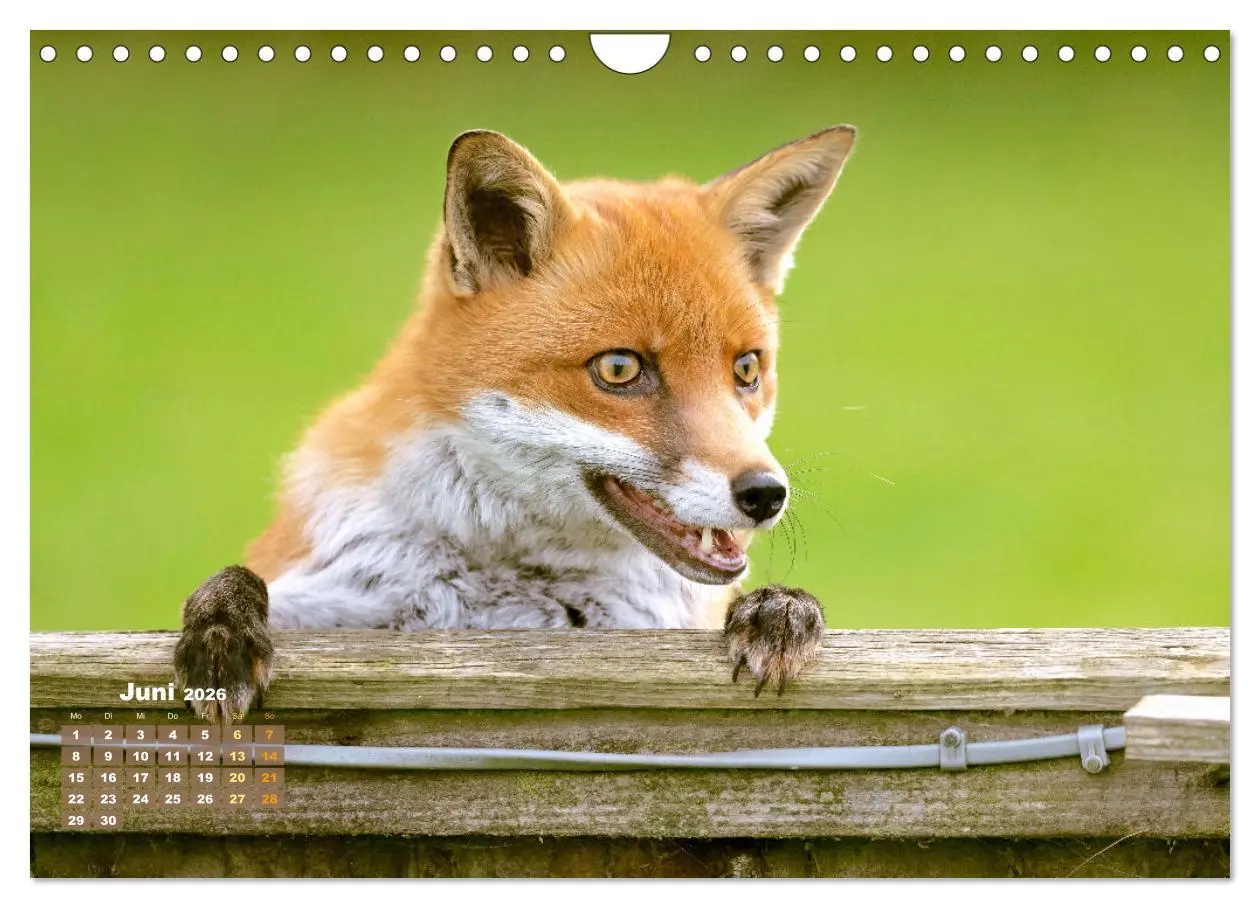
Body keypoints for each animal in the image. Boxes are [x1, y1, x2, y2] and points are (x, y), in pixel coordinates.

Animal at [174, 125, 858, 723]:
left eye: (746, 368)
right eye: (619, 368)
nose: (766, 495)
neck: (507, 585)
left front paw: (780, 610)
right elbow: (236, 582)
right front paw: (221, 631)